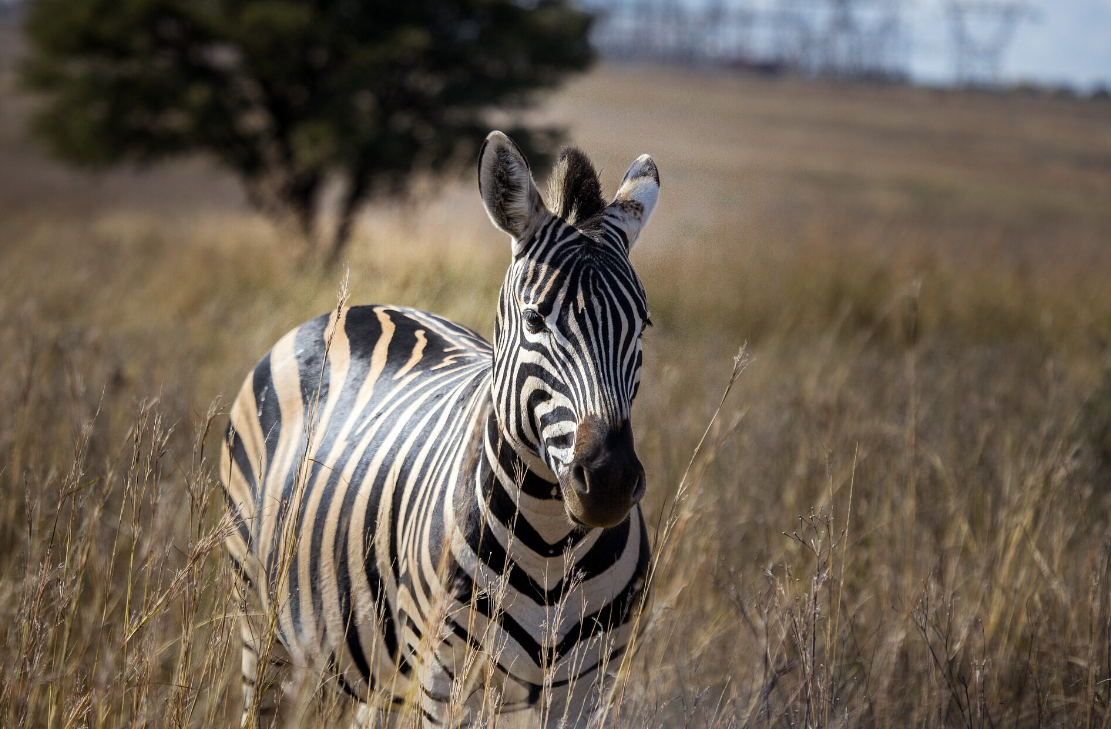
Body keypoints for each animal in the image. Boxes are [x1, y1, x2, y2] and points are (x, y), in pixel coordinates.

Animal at [222, 132, 662, 729]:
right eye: (535, 319)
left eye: (642, 324)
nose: (610, 483)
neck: (551, 543)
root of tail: (364, 307)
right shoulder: (444, 678)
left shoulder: (588, 689)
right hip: (259, 617)